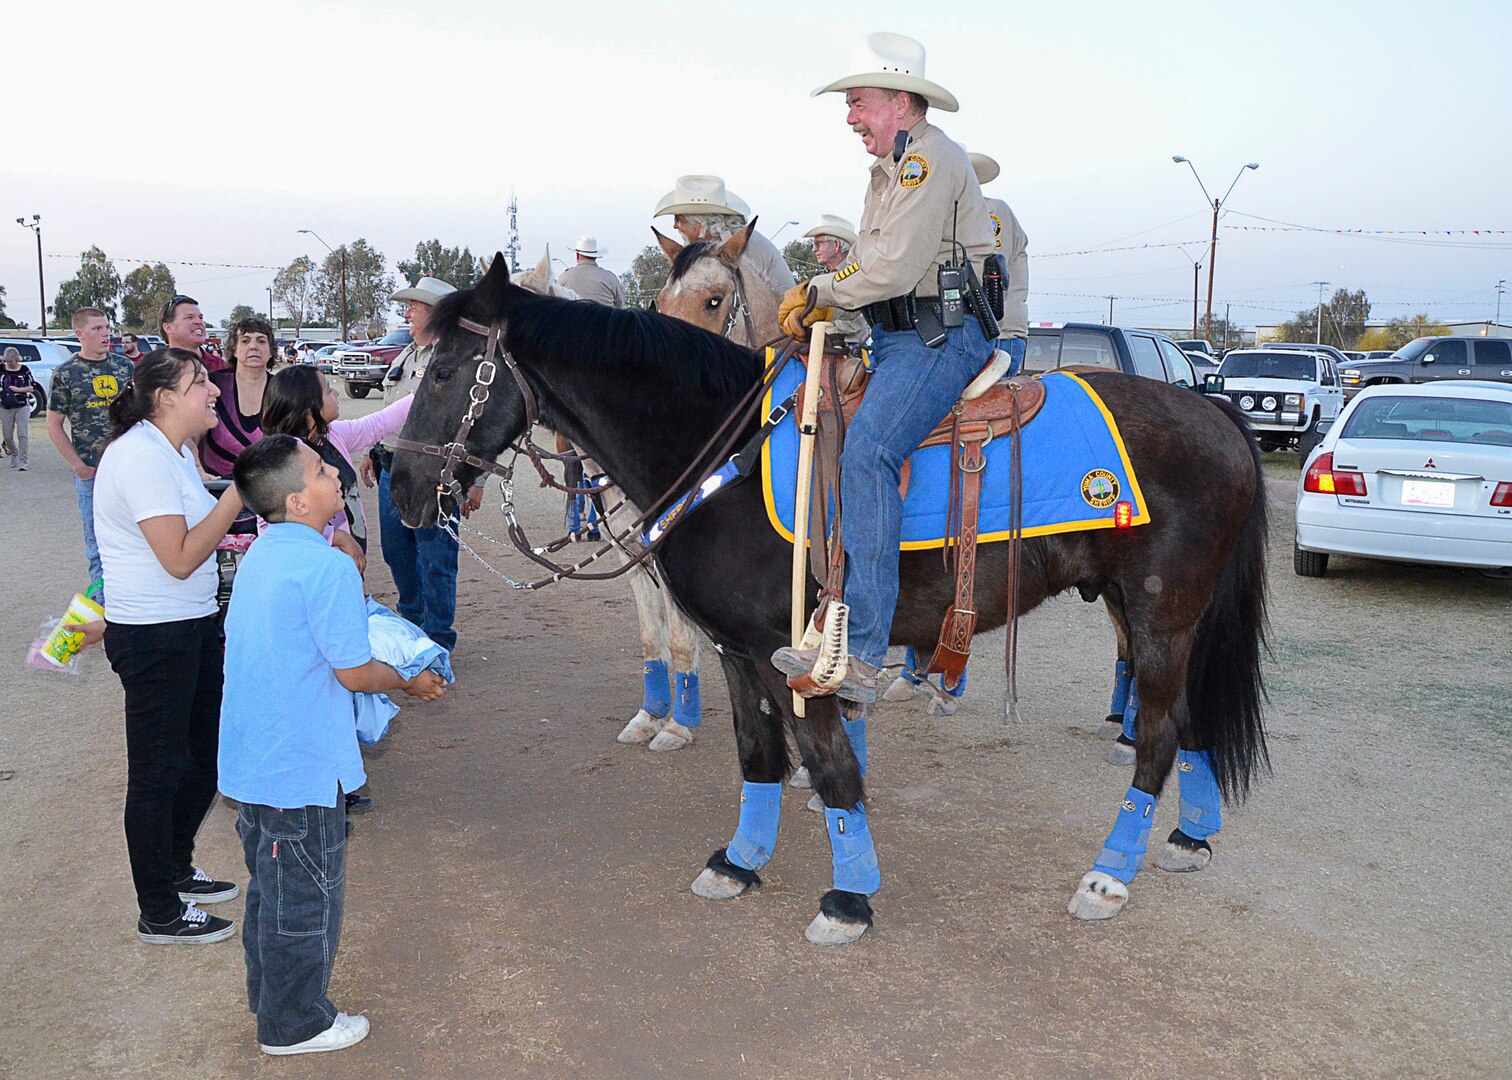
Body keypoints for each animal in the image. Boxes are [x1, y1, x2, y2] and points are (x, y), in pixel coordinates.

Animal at [387, 258, 1264, 943]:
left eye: (443, 370)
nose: (398, 483)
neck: (724, 450)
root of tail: (1212, 407)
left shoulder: (794, 658)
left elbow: (834, 769)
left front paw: (849, 897)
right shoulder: (736, 649)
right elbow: (758, 757)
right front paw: (739, 862)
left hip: (1158, 616)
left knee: (1157, 734)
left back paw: (1108, 877)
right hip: (1154, 616)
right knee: (1190, 722)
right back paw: (1188, 837)